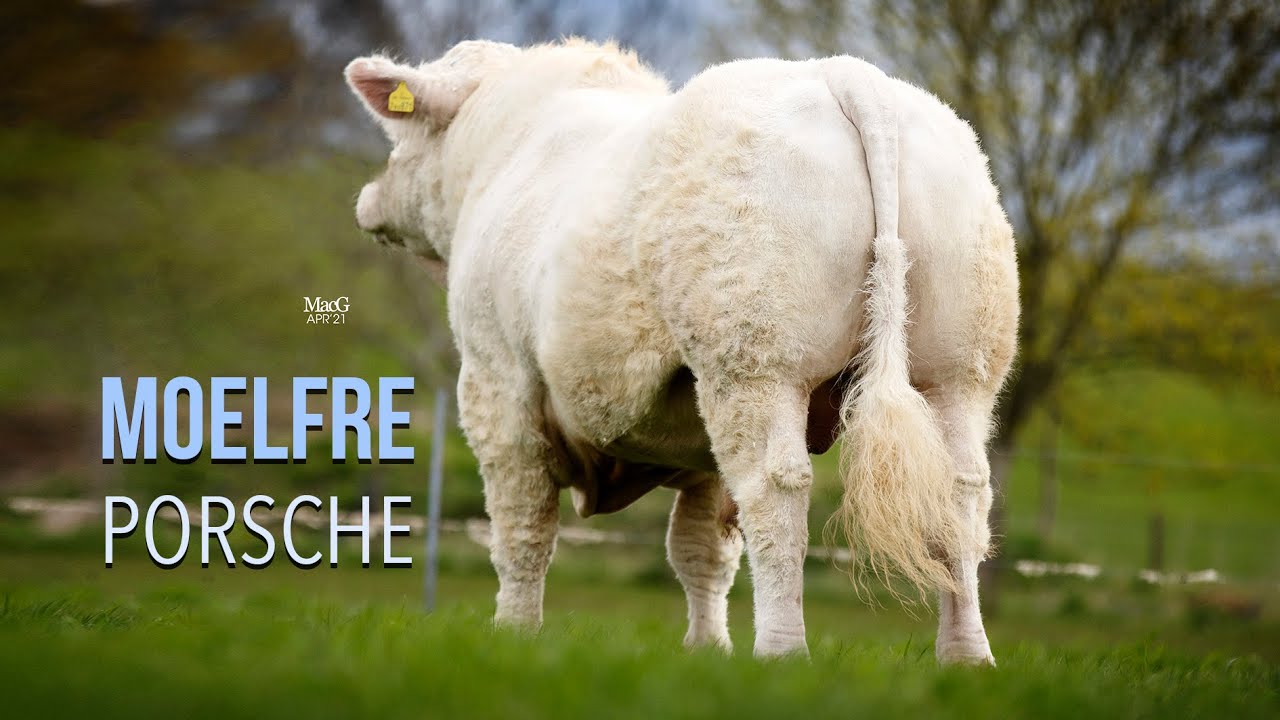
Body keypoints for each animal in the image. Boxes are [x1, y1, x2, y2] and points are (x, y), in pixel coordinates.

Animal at [344, 38, 1019, 665]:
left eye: (401, 132)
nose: (369, 197)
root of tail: (847, 74)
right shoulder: (695, 438)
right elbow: (701, 549)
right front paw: (706, 652)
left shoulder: (497, 381)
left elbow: (521, 529)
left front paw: (514, 634)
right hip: (959, 371)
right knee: (963, 496)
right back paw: (967, 656)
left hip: (754, 362)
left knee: (776, 496)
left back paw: (782, 652)